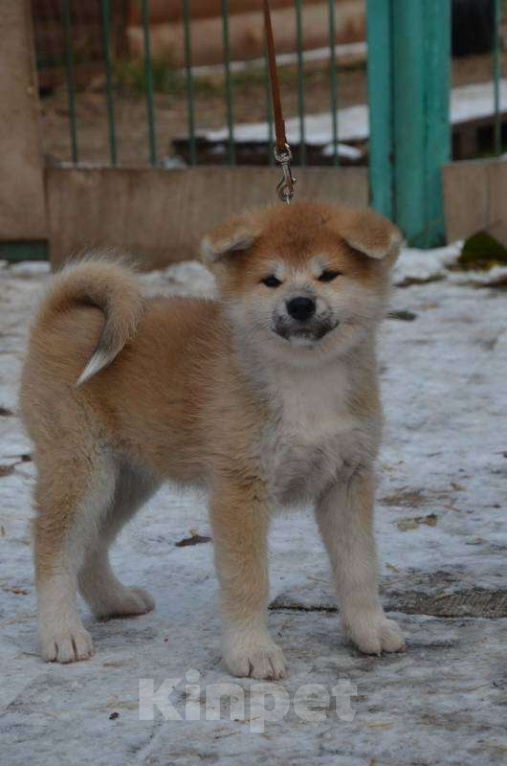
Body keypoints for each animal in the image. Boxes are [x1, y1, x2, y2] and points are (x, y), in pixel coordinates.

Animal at [20, 202, 404, 680]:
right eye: (271, 280)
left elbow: (359, 567)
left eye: (328, 275)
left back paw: (115, 602)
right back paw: (60, 633)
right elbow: (248, 579)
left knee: (90, 544)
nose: (299, 304)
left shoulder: (348, 480)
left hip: (127, 479)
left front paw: (370, 629)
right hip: (83, 470)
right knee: (54, 545)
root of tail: (61, 317)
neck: (305, 377)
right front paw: (250, 651)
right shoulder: (241, 488)